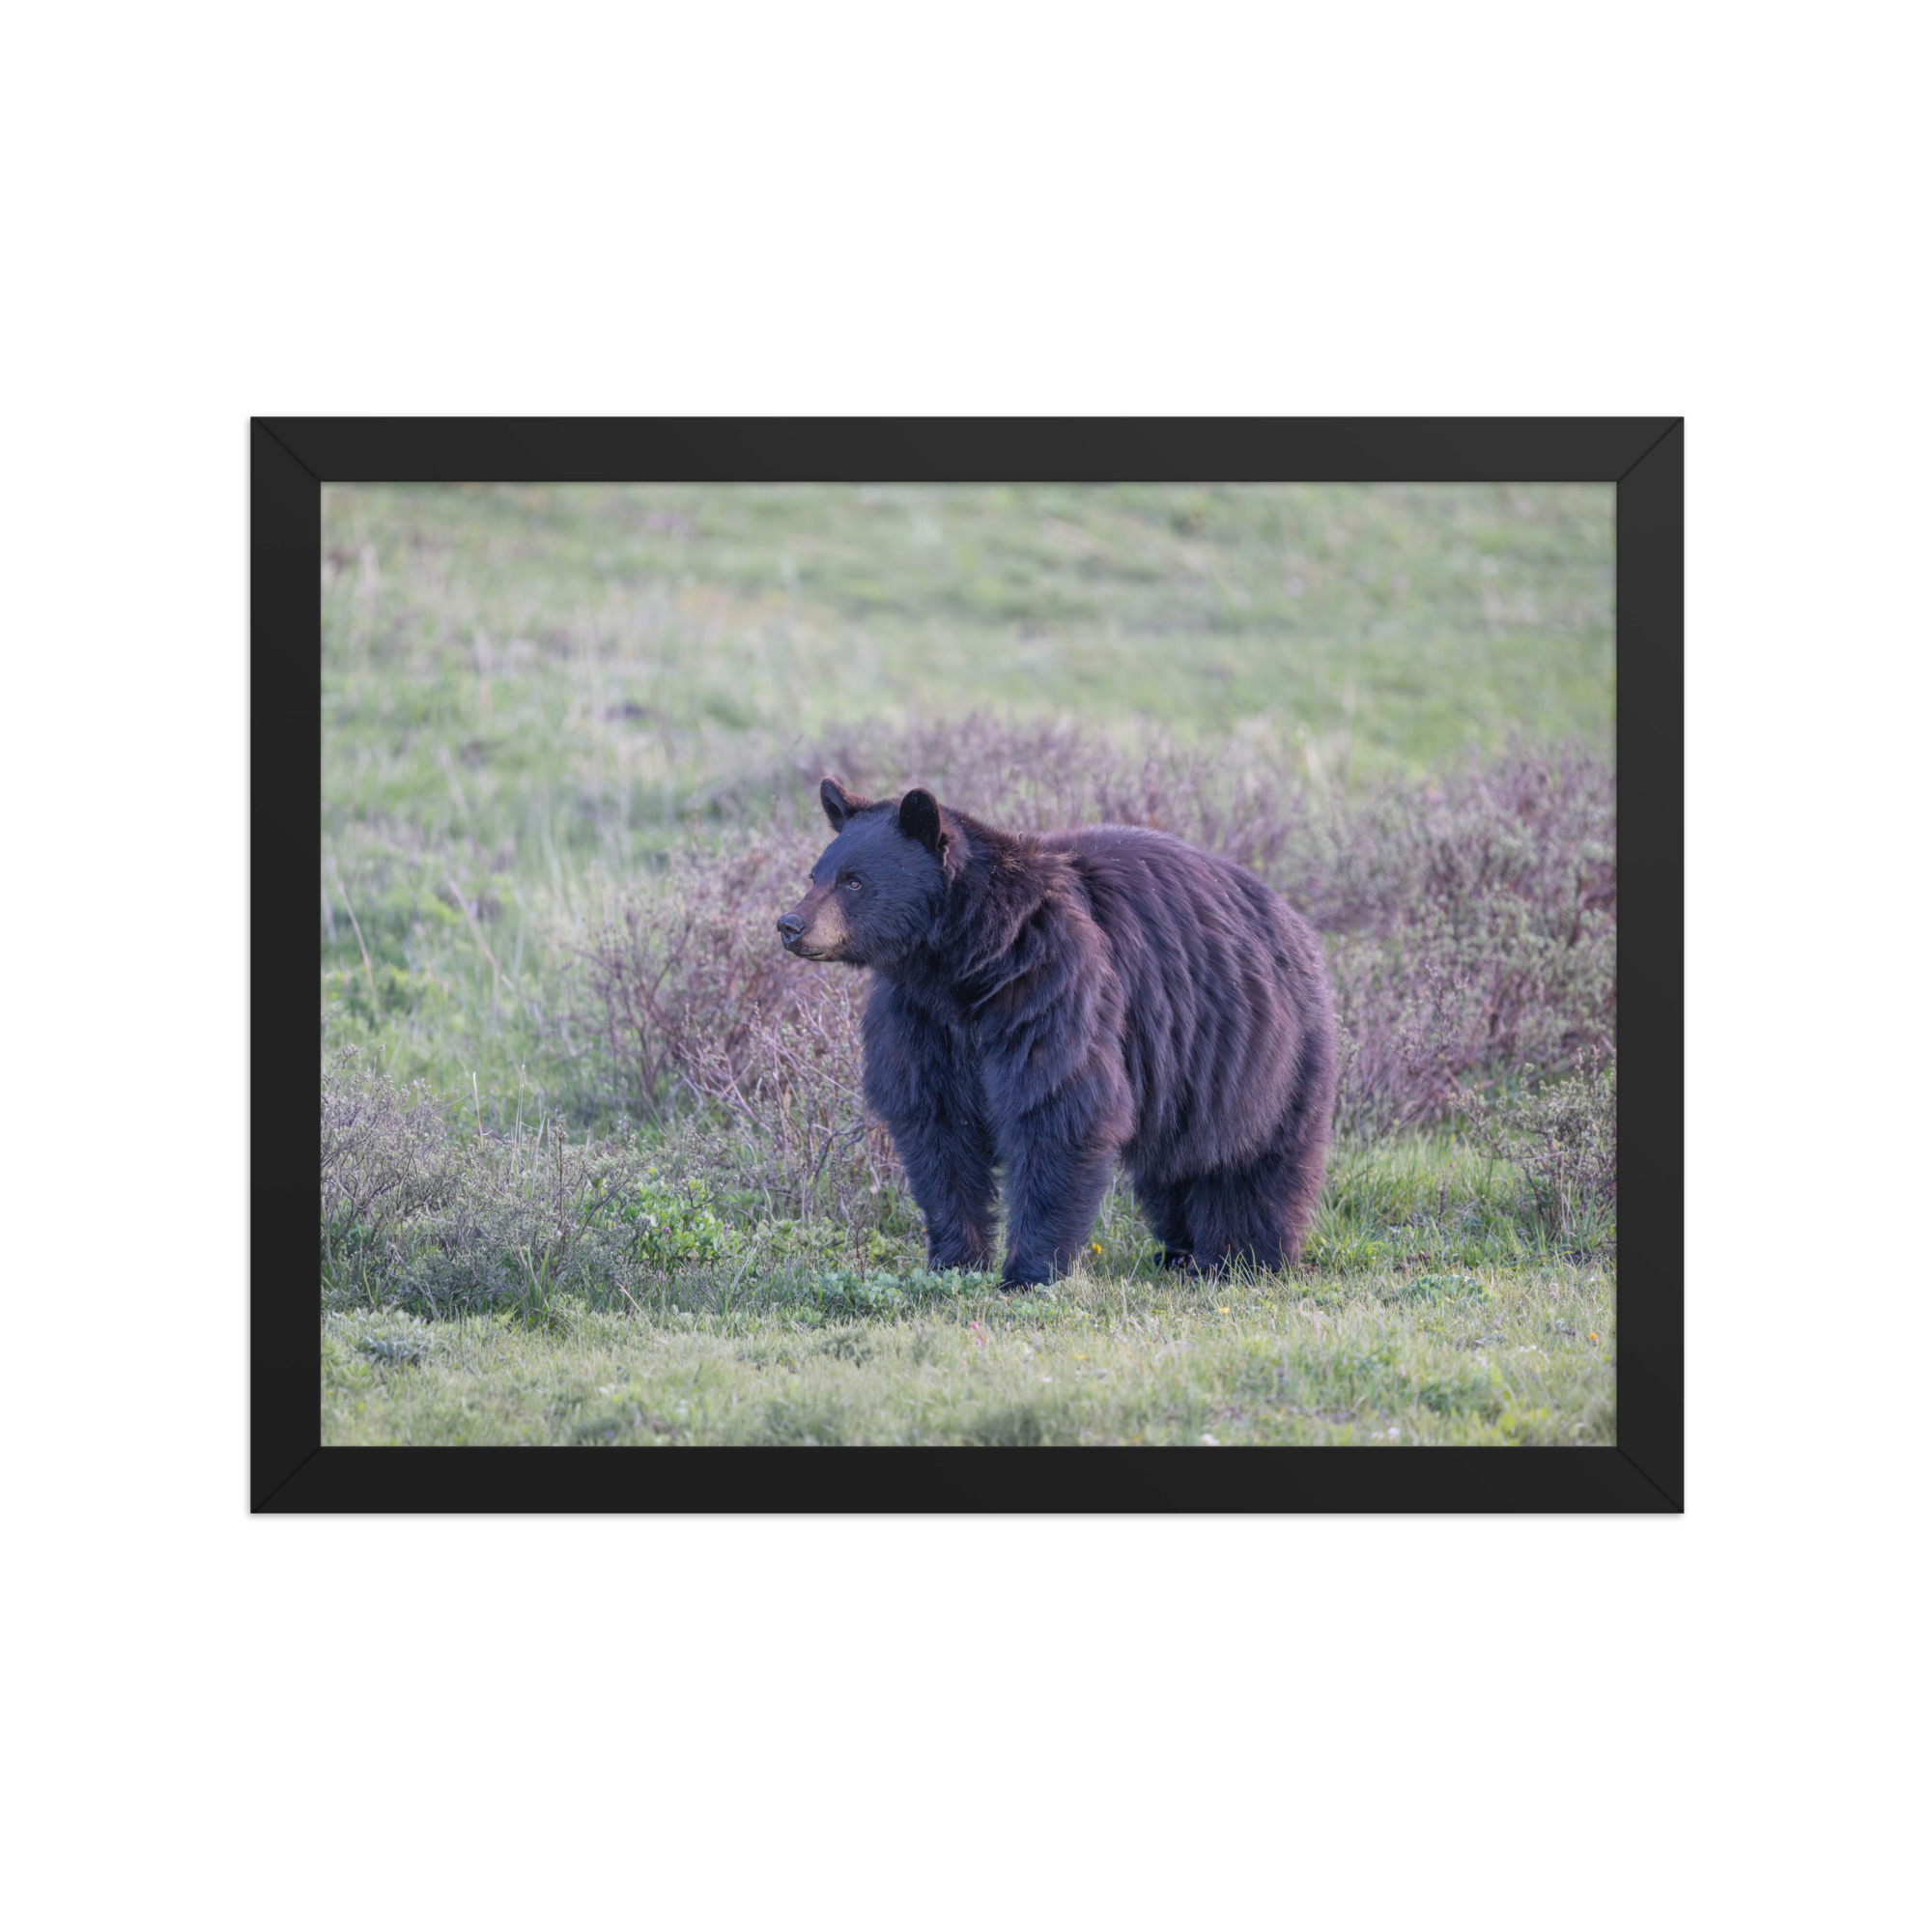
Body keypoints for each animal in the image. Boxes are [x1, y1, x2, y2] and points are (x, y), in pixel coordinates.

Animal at [777, 777, 1337, 1290]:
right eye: (815, 874)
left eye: (853, 881)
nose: (790, 924)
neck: (964, 963)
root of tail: (1294, 920)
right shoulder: (920, 1019)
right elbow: (937, 1128)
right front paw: (954, 1261)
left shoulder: (1051, 986)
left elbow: (1057, 1109)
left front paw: (1028, 1273)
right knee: (1175, 1166)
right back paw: (1180, 1252)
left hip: (1262, 1050)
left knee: (1254, 1160)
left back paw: (1241, 1258)